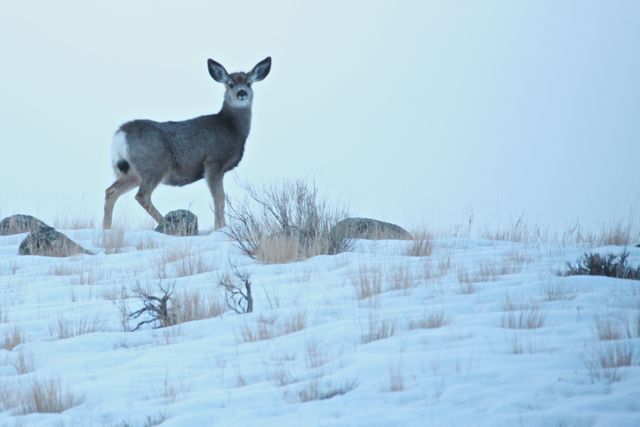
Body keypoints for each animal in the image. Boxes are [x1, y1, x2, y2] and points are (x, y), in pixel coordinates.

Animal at [102, 58, 270, 231]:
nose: (241, 93)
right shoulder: (213, 161)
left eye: (249, 83)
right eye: (230, 84)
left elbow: (219, 197)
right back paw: (166, 222)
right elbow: (219, 197)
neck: (232, 128)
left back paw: (106, 228)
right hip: (154, 165)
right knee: (142, 196)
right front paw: (221, 227)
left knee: (111, 191)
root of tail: (120, 134)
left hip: (131, 172)